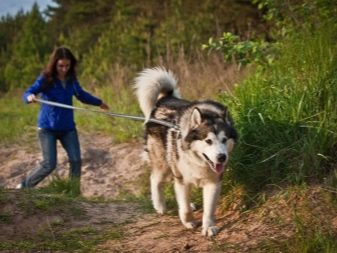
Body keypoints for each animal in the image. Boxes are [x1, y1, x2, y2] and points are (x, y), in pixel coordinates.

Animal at [133, 67, 238, 237]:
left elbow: (209, 209)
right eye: (208, 141)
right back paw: (160, 205)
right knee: (155, 179)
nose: (222, 157)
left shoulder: (214, 182)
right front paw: (188, 221)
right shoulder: (181, 179)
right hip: (163, 163)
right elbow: (185, 206)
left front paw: (208, 227)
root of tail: (166, 98)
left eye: (224, 140)